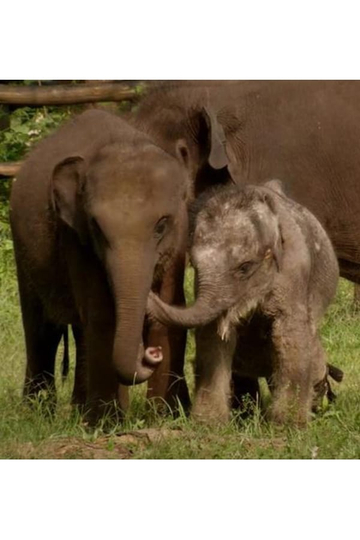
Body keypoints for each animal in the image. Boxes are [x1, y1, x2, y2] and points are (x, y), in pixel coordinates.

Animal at [11, 108, 228, 422]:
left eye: (161, 225)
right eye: (98, 228)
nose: (150, 354)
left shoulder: (179, 236)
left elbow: (169, 310)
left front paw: (164, 416)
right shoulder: (76, 238)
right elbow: (103, 315)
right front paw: (109, 422)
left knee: (76, 331)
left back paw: (77, 411)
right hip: (22, 248)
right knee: (42, 329)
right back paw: (38, 414)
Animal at [148, 181, 342, 426]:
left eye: (245, 267)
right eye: (194, 265)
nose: (149, 293)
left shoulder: (294, 272)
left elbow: (288, 333)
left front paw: (287, 425)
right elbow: (214, 336)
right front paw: (208, 423)